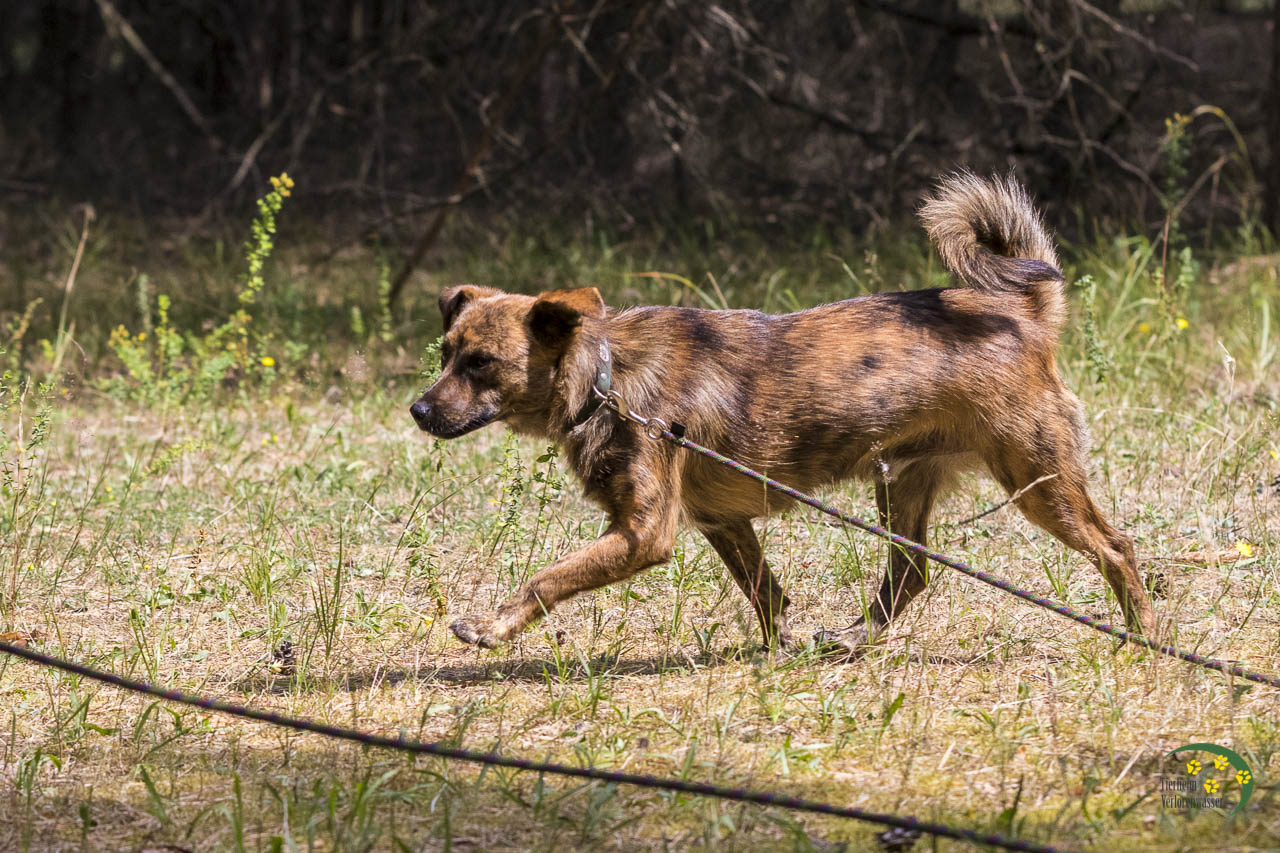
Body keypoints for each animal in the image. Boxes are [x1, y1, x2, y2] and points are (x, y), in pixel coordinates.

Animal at [409, 173, 1157, 655]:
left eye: (481, 364)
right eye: (446, 353)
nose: (417, 410)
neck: (607, 376)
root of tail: (1021, 316)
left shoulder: (643, 534)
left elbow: (546, 578)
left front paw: (492, 626)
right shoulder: (723, 521)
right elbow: (766, 594)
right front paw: (782, 650)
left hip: (1038, 482)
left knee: (1116, 548)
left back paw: (1143, 637)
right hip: (902, 483)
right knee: (910, 574)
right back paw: (854, 638)